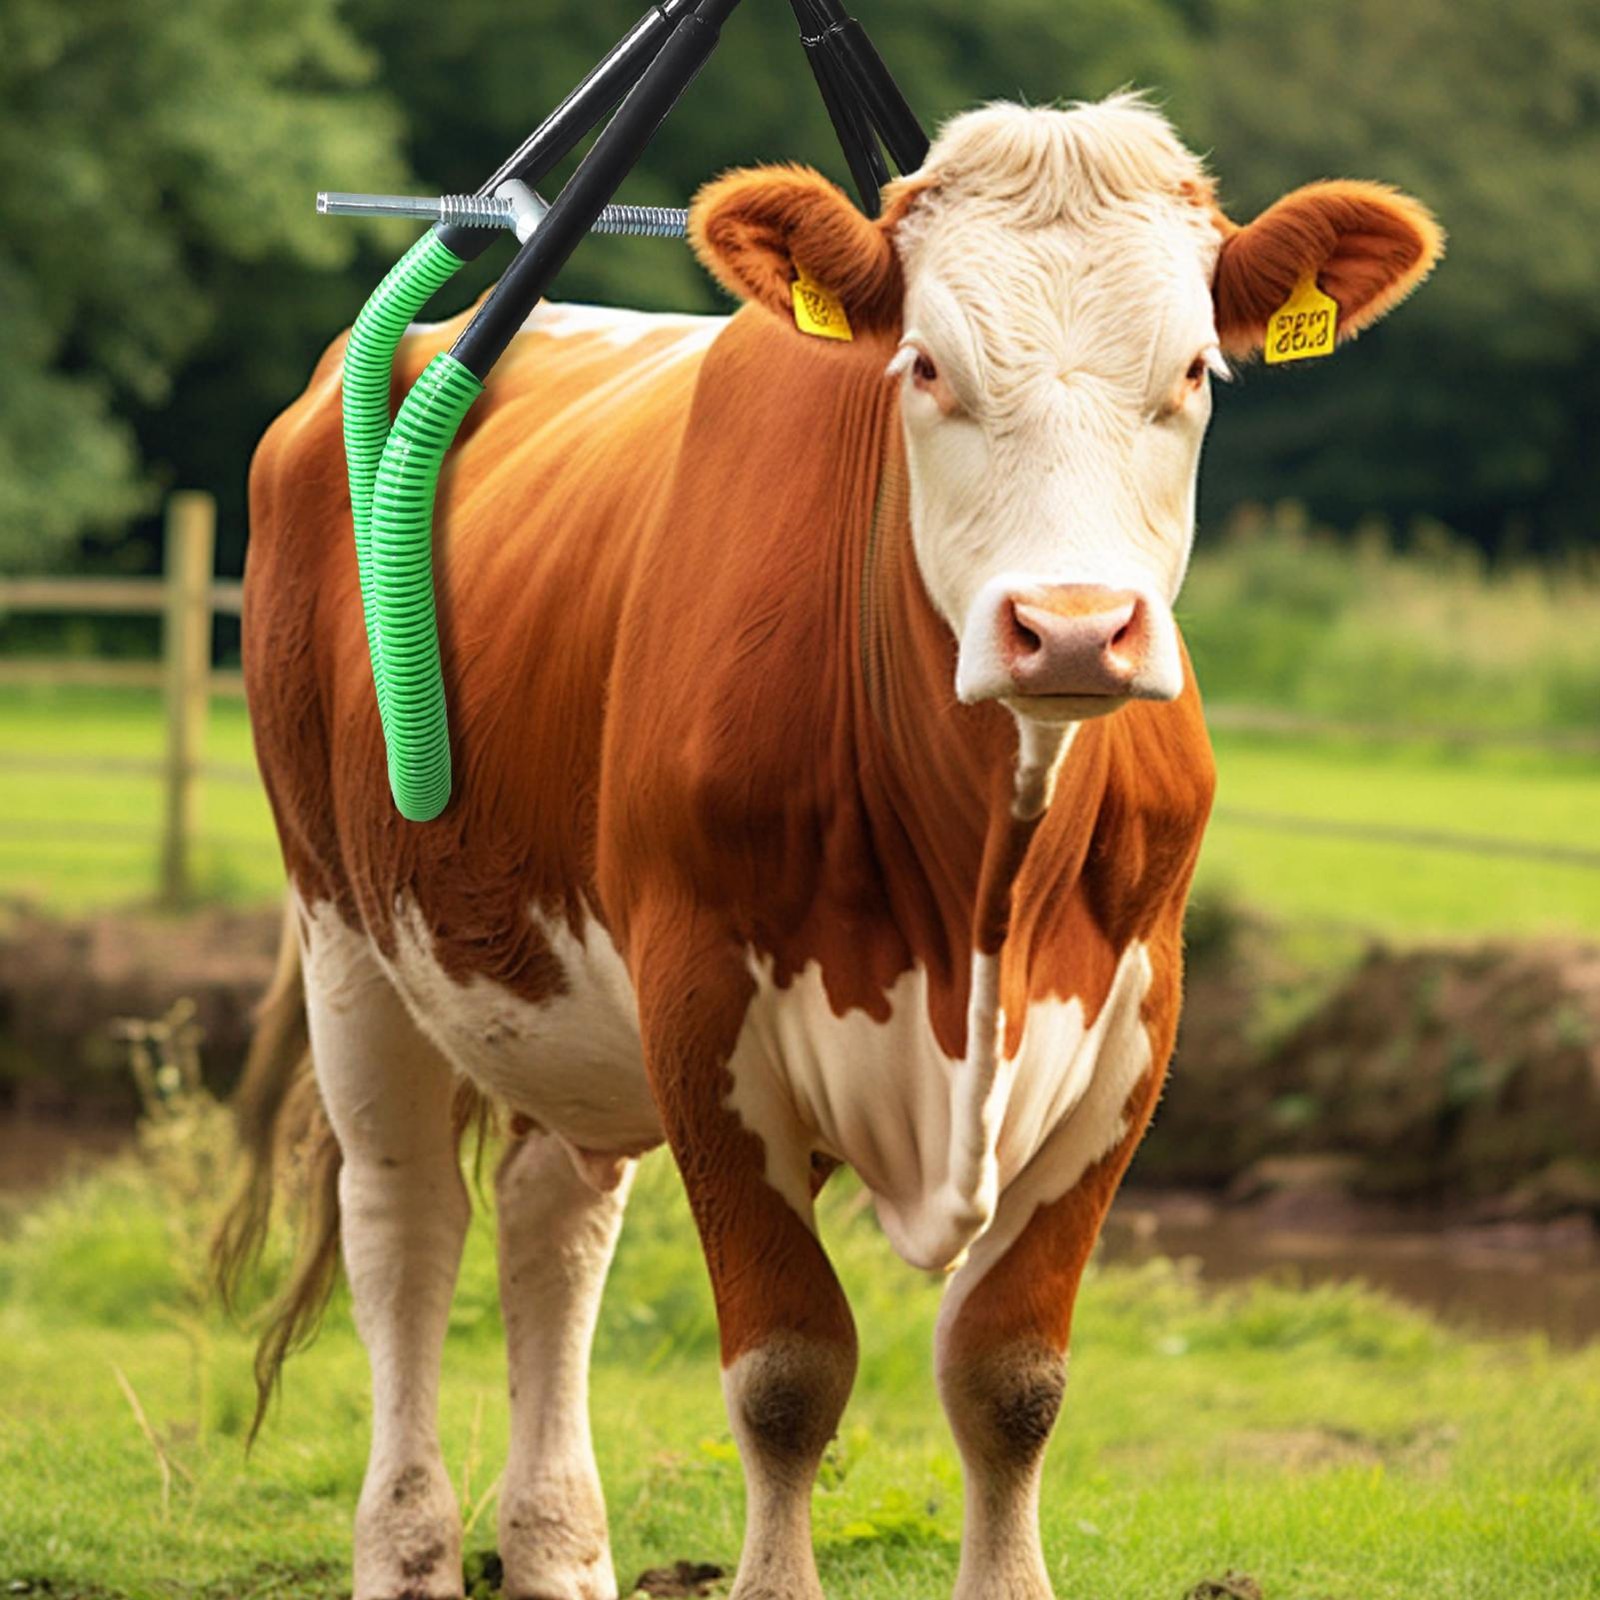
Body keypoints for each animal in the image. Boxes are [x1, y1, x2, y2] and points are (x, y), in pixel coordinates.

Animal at [221, 94, 1439, 1600]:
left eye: (1197, 371)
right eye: (923, 365)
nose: (1075, 628)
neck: (978, 899)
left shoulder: (1130, 1025)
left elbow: (1010, 1375)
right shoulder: (699, 1004)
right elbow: (788, 1372)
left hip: (548, 989)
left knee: (551, 1224)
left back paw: (556, 1544)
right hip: (348, 927)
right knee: (405, 1228)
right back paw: (408, 1545)